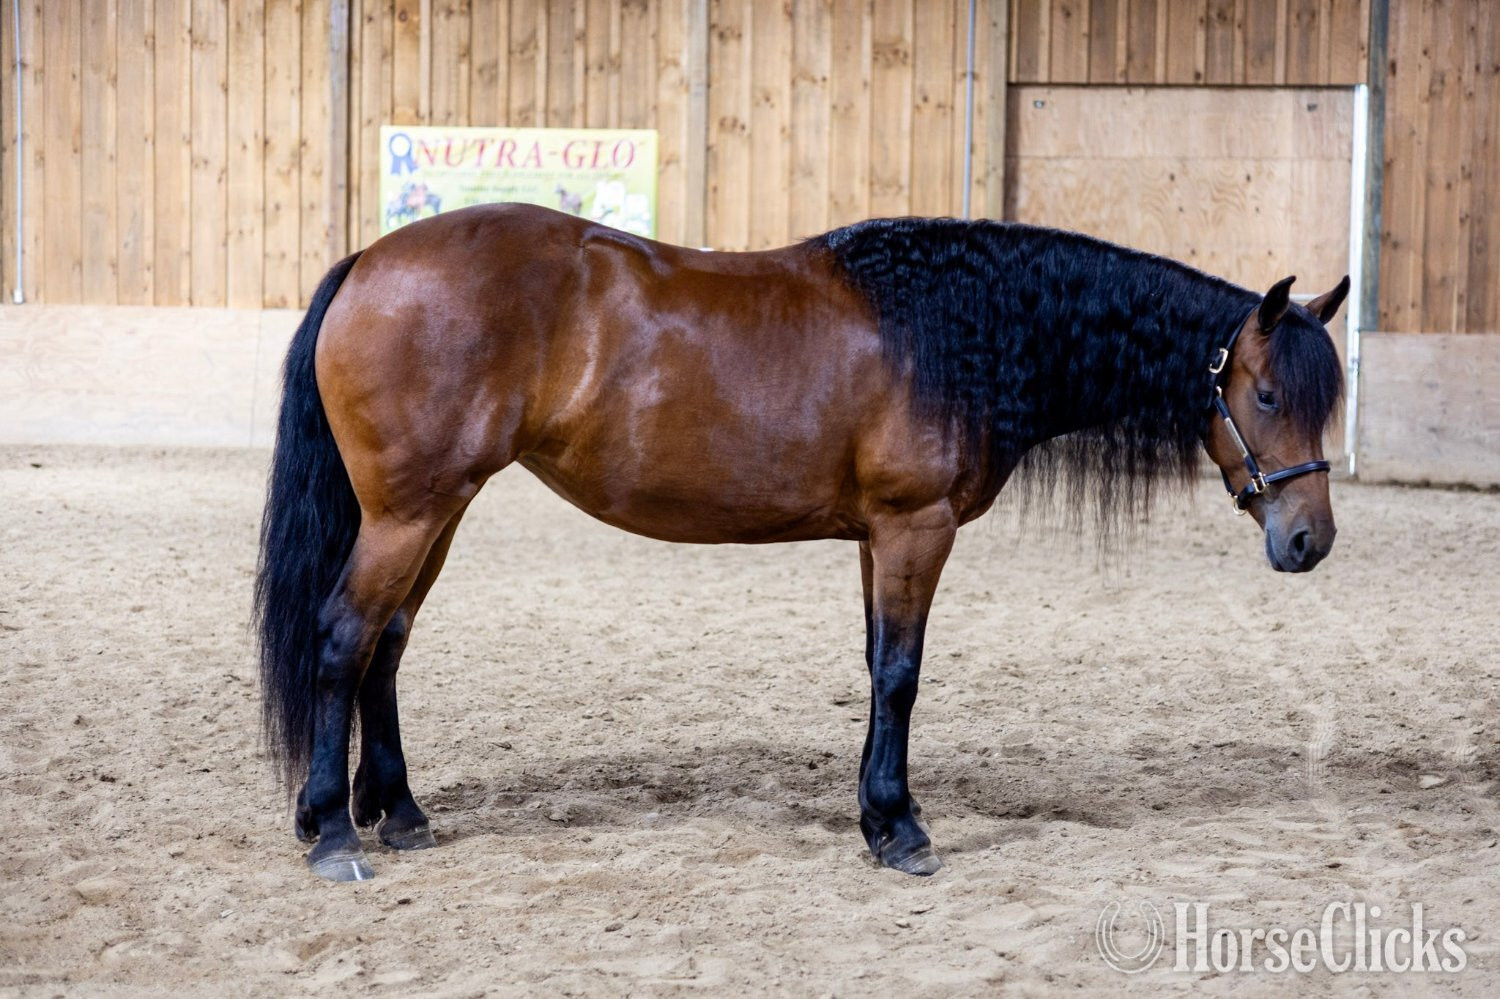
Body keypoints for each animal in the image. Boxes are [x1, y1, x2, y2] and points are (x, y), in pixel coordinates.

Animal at [254, 203, 1347, 882]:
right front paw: (901, 830)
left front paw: (876, 813)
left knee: (387, 645)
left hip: (436, 510)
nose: (1310, 540)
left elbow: (874, 666)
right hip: (411, 511)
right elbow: (901, 673)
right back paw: (333, 831)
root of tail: (370, 262)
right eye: (1264, 394)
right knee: (345, 637)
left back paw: (398, 812)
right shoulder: (914, 527)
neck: (953, 334)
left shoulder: (876, 536)